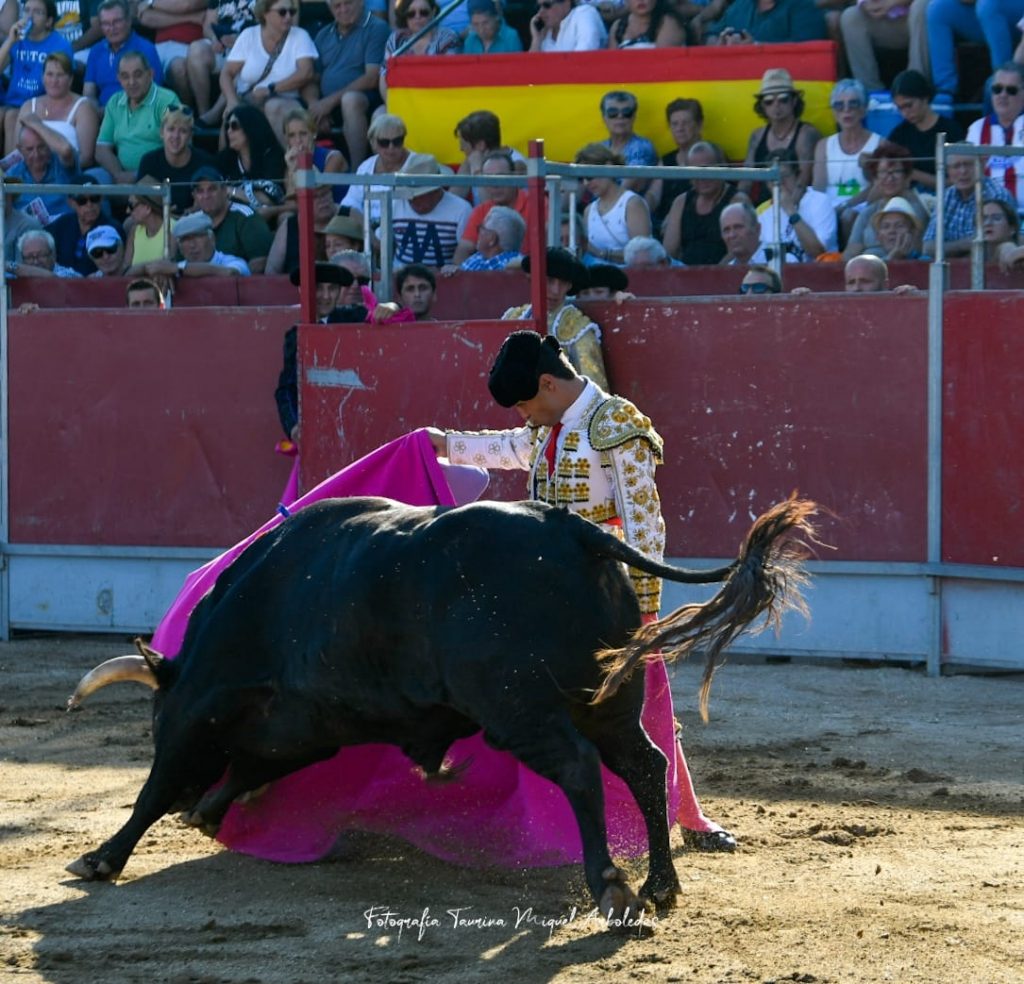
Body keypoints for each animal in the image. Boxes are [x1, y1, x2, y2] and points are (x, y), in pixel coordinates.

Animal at [66, 499, 815, 921]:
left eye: (152, 717)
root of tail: (573, 530)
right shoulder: (306, 727)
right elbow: (251, 766)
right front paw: (209, 811)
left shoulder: (197, 712)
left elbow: (156, 783)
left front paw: (101, 859)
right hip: (607, 701)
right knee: (642, 764)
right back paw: (659, 884)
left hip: (516, 708)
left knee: (579, 769)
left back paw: (609, 884)